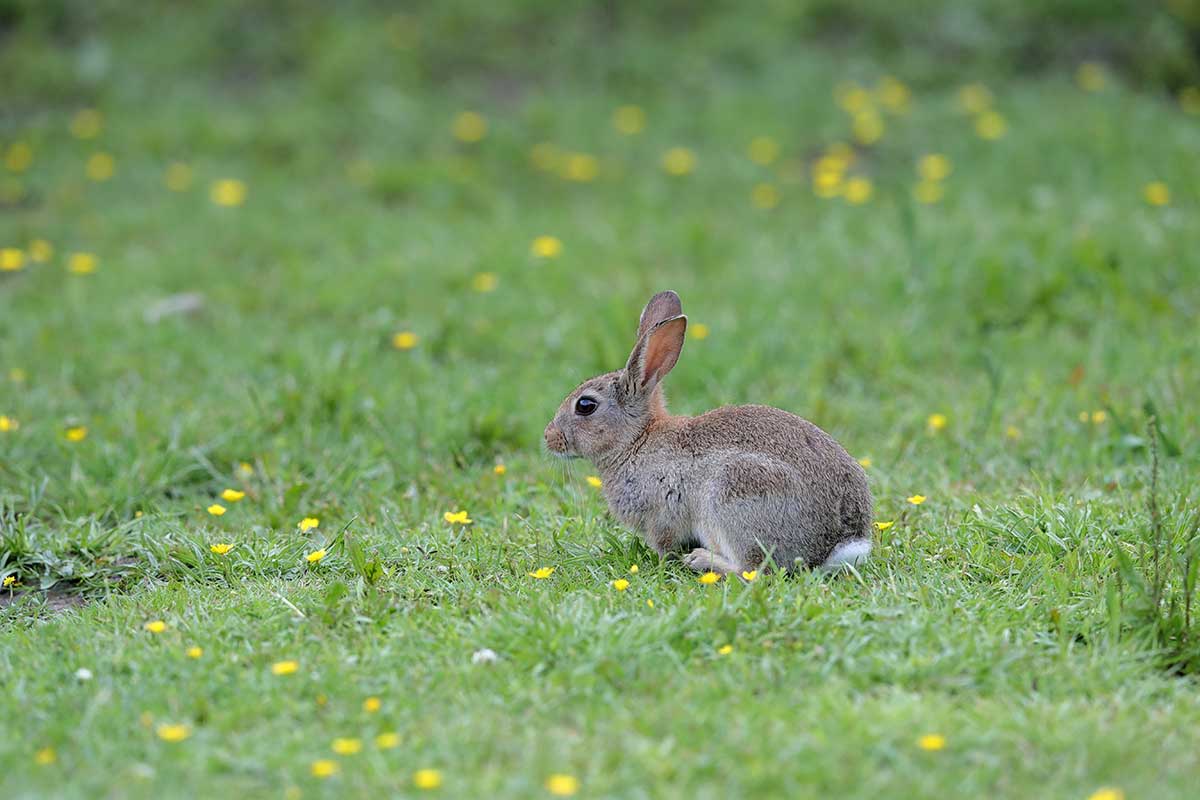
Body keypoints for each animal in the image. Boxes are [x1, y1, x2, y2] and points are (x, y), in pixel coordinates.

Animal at [544, 291, 873, 573]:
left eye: (585, 405)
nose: (548, 437)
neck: (636, 441)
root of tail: (836, 545)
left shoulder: (662, 514)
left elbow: (664, 544)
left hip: (733, 497)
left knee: (754, 570)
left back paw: (701, 560)